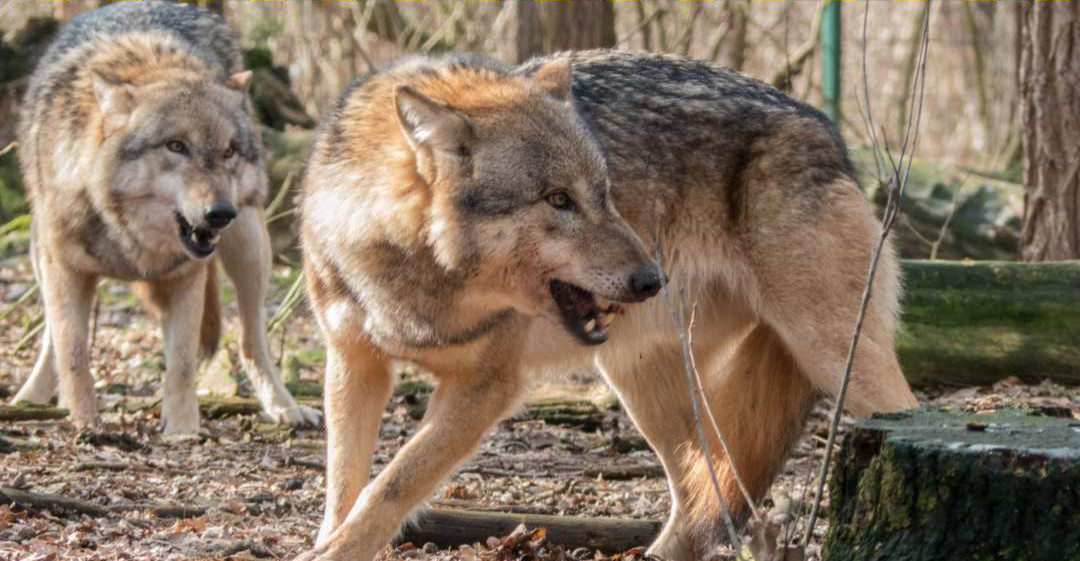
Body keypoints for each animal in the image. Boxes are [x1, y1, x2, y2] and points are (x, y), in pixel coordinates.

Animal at [11, 1, 319, 434]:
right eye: (177, 146)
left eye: (228, 151)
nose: (220, 213)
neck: (128, 237)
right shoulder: (66, 270)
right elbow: (73, 354)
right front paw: (86, 423)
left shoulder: (185, 277)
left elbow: (183, 365)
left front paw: (182, 432)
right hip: (41, 256)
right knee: (51, 340)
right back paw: (31, 398)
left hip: (251, 247)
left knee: (251, 340)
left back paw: (284, 407)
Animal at [293, 50, 911, 557]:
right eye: (558, 199)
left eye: (605, 192)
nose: (652, 278)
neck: (416, 277)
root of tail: (824, 128)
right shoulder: (353, 365)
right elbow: (343, 486)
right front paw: (330, 537)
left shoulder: (486, 386)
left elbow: (389, 485)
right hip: (640, 379)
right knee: (702, 491)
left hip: (838, 360)